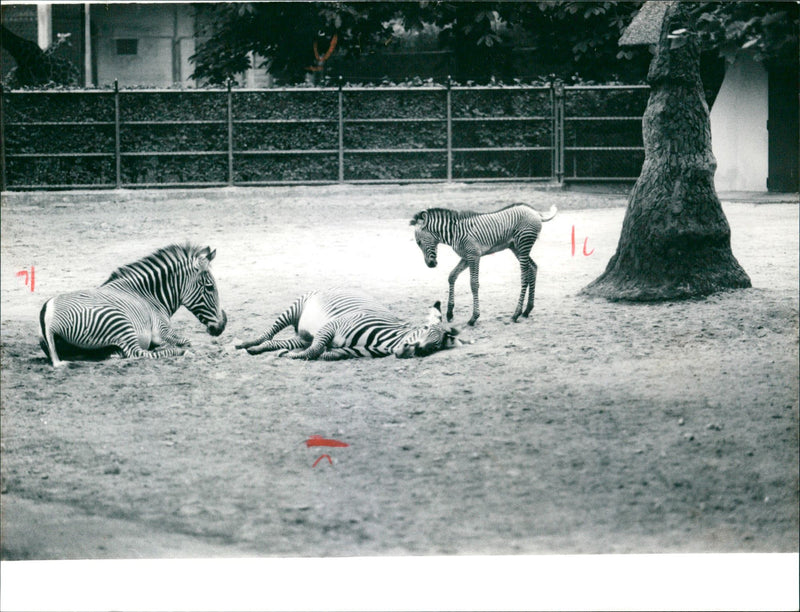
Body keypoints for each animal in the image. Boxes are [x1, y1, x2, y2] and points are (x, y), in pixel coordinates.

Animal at [39, 244, 227, 367]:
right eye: (210, 287)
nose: (221, 327)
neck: (150, 296)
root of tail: (49, 316)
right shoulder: (162, 330)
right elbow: (188, 341)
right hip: (119, 321)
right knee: (138, 353)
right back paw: (178, 352)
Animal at [235, 288, 461, 360]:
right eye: (424, 329)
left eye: (435, 346)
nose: (417, 349)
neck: (384, 342)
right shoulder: (331, 327)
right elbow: (315, 350)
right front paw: (294, 357)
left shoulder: (351, 352)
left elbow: (325, 354)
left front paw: (290, 355)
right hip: (295, 308)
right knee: (269, 333)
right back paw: (246, 343)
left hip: (303, 336)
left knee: (275, 342)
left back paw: (256, 349)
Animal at [410, 203, 557, 325]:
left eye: (418, 242)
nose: (431, 264)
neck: (455, 233)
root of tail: (535, 212)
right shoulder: (466, 257)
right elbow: (452, 276)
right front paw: (450, 313)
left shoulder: (474, 256)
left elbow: (474, 284)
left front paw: (474, 317)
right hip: (516, 247)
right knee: (533, 268)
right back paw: (527, 310)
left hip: (523, 244)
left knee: (525, 276)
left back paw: (516, 314)